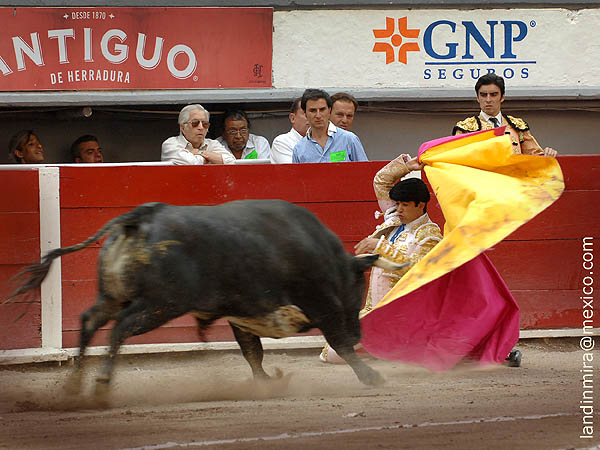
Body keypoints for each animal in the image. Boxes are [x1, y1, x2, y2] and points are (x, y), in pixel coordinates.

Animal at [10, 201, 398, 394]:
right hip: (162, 304)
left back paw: (75, 384)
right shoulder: (323, 303)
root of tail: (141, 216)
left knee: (90, 321)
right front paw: (372, 377)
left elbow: (252, 353)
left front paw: (265, 385)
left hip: (114, 295)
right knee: (119, 327)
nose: (362, 333)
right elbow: (339, 343)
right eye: (358, 287)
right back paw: (102, 382)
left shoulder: (243, 315)